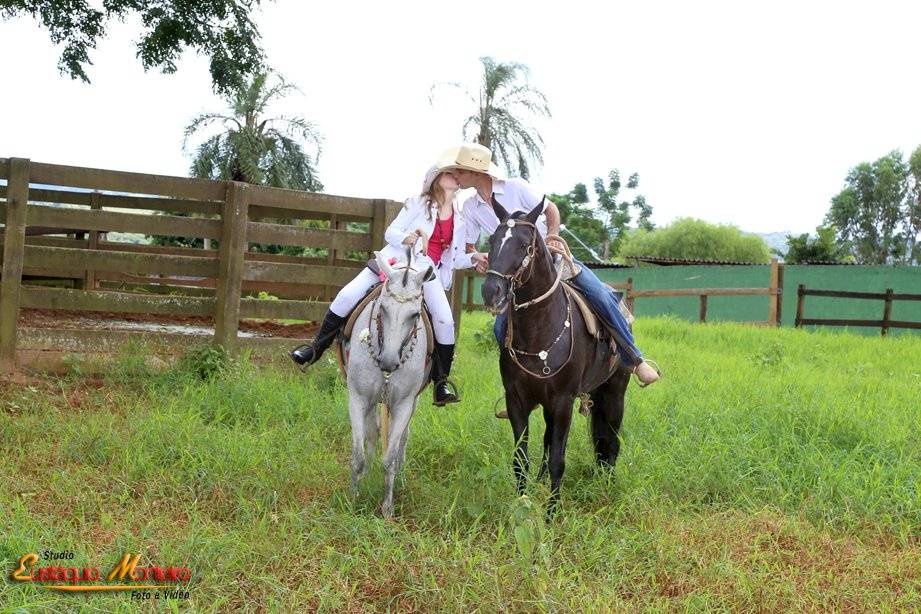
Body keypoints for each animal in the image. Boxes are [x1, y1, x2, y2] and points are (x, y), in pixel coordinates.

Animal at [344, 250, 434, 520]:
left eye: (414, 314)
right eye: (382, 307)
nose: (388, 361)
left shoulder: (403, 404)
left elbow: (390, 458)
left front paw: (387, 508)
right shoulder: (358, 398)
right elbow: (358, 454)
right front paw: (352, 499)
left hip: (410, 403)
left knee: (402, 438)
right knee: (372, 433)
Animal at [478, 200, 628, 512]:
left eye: (525, 245)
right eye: (493, 240)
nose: (491, 291)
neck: (540, 331)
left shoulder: (563, 402)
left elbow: (560, 459)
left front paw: (552, 512)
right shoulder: (517, 401)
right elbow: (521, 459)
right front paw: (522, 503)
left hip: (614, 392)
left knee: (611, 440)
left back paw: (607, 483)